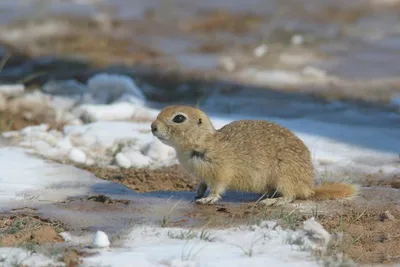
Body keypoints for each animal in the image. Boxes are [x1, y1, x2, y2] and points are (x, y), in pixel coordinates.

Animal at [150, 105, 356, 206]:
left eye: (179, 118)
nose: (152, 126)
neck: (202, 141)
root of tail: (309, 186)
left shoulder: (220, 170)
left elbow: (218, 187)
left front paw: (208, 199)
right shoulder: (204, 173)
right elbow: (203, 182)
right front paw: (198, 192)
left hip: (285, 177)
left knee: (291, 196)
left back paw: (273, 201)